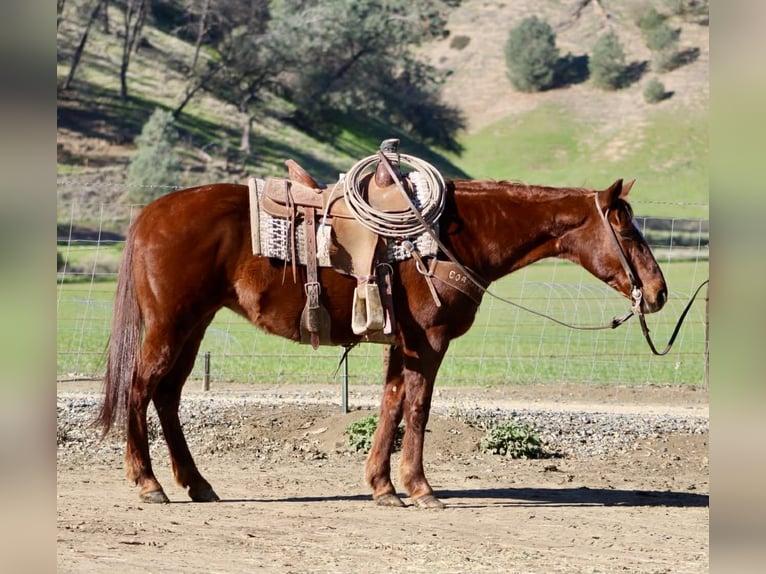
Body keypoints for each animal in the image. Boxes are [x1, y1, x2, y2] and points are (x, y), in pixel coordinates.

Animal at [96, 154, 667, 508]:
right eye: (625, 230)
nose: (659, 292)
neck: (449, 236)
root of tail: (151, 213)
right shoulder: (429, 343)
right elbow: (417, 408)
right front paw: (420, 488)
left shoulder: (403, 343)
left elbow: (391, 404)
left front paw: (383, 486)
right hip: (171, 323)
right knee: (140, 388)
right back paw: (148, 483)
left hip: (194, 323)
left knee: (167, 396)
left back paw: (196, 483)